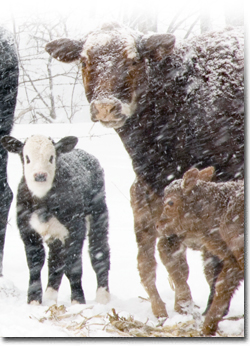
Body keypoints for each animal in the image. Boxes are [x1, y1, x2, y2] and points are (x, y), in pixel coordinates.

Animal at [0, 135, 110, 306]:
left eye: (51, 157)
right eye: (27, 158)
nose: (40, 176)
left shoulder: (75, 229)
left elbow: (73, 266)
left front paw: (78, 301)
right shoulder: (27, 230)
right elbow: (35, 264)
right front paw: (34, 300)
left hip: (98, 212)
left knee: (99, 252)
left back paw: (103, 298)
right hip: (55, 233)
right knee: (56, 261)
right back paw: (50, 297)